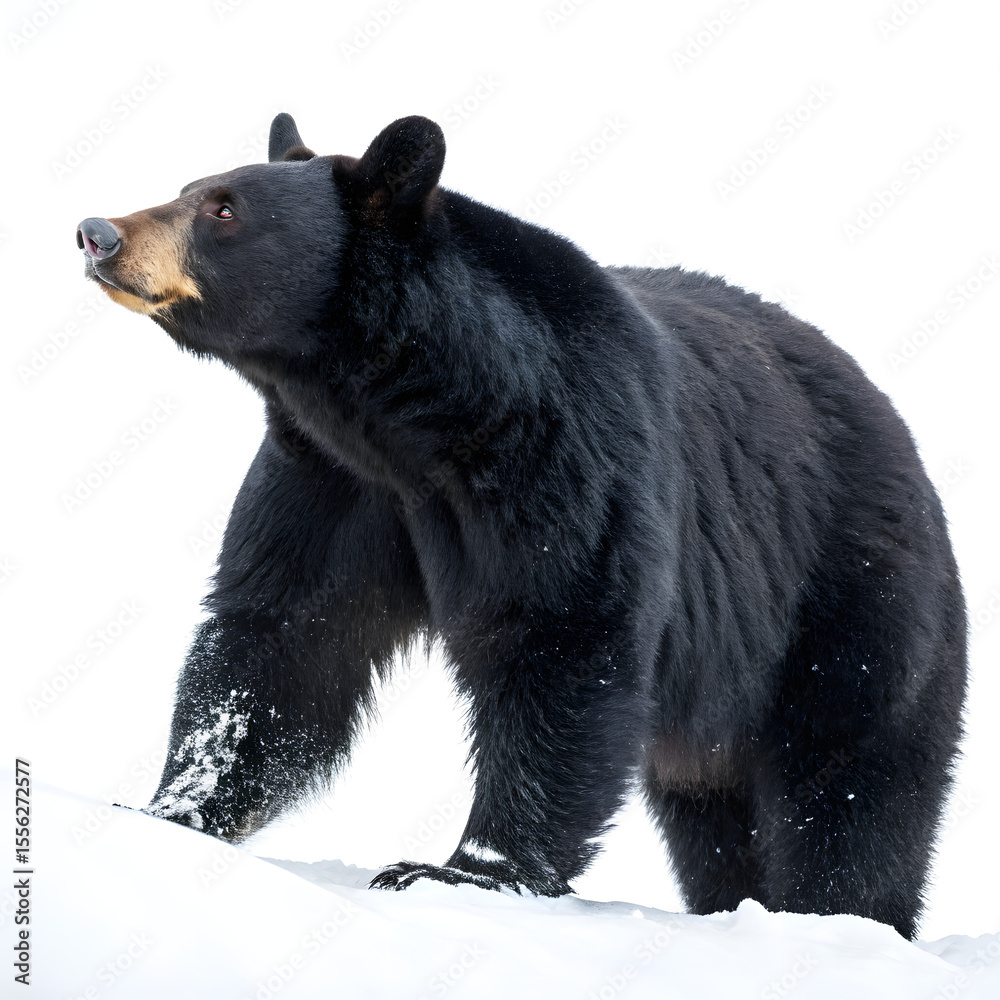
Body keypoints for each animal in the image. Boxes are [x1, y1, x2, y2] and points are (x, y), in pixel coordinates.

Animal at [76, 112, 967, 940]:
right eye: (190, 186)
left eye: (224, 208)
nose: (98, 233)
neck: (411, 417)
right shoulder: (331, 478)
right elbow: (283, 635)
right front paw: (171, 808)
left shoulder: (566, 455)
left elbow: (560, 637)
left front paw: (459, 869)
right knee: (714, 821)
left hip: (847, 601)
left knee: (852, 783)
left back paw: (837, 915)